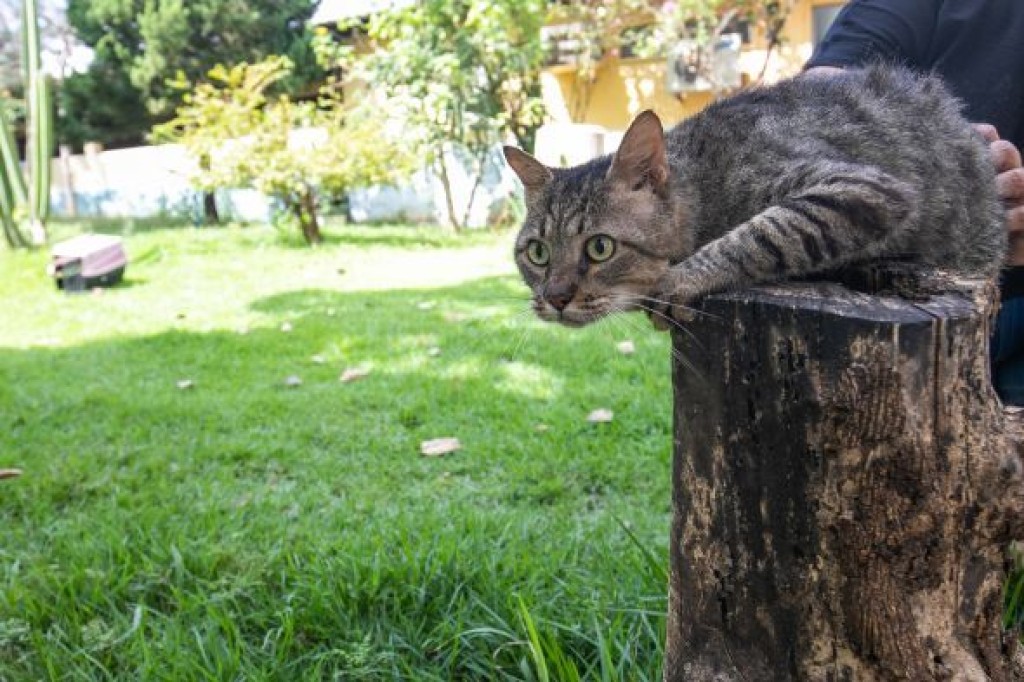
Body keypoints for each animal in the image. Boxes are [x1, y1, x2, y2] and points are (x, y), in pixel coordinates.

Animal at [503, 65, 1006, 329]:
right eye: (538, 253)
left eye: (600, 247)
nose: (554, 297)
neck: (704, 180)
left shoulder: (861, 185)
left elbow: (766, 231)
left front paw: (681, 279)